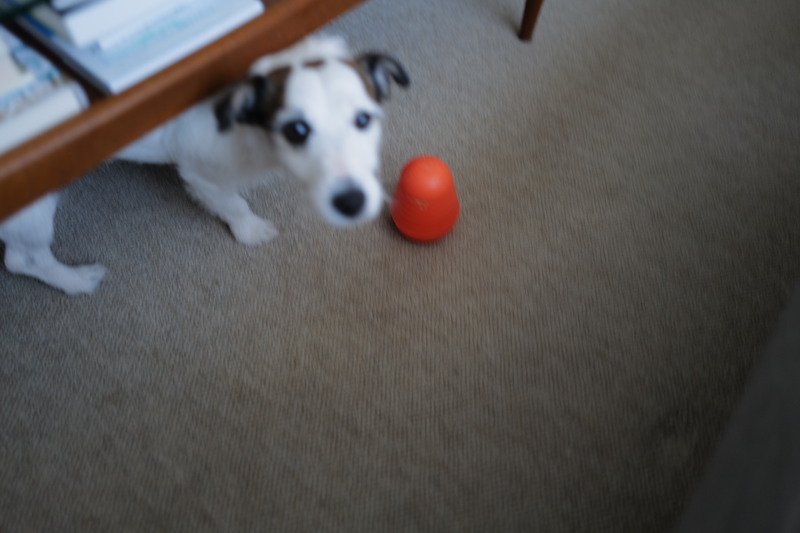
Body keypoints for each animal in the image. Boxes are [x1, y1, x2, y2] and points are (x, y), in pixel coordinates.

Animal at [1, 36, 409, 293]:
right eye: (296, 130)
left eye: (364, 120)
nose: (352, 202)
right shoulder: (202, 175)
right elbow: (233, 205)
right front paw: (250, 229)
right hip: (31, 211)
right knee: (23, 260)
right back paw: (75, 282)